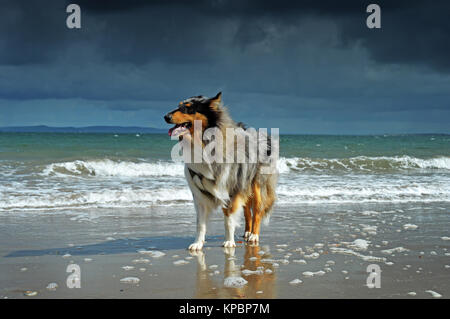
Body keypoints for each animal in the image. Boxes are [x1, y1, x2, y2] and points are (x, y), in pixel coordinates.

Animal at [165, 91, 278, 251]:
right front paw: (198, 243)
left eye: (189, 108)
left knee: (257, 211)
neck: (202, 143)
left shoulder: (231, 190)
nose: (165, 117)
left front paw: (229, 242)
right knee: (247, 211)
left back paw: (254, 235)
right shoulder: (199, 195)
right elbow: (200, 224)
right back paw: (247, 232)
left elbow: (229, 220)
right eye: (178, 105)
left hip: (257, 185)